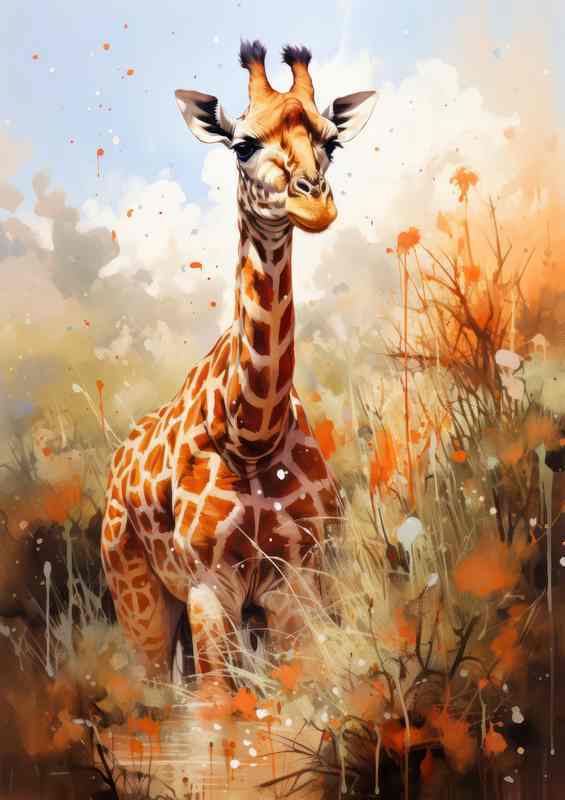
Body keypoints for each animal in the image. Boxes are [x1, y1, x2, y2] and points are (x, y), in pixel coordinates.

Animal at [101, 40, 377, 680]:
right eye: (242, 144)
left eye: (332, 142)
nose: (314, 204)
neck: (251, 432)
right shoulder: (209, 588)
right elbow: (224, 701)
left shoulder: (293, 584)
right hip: (138, 600)